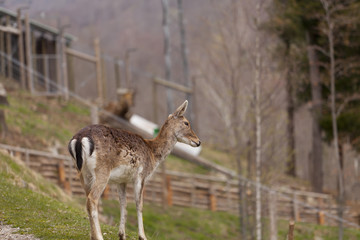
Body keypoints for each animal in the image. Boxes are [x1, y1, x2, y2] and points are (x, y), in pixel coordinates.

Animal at [68, 100, 200, 240]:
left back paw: (93, 235)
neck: (152, 154)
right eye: (186, 123)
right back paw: (99, 236)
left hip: (83, 173)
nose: (198, 141)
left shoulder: (121, 180)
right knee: (92, 199)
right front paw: (142, 236)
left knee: (87, 198)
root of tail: (79, 139)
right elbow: (139, 204)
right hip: (102, 171)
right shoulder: (141, 175)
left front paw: (122, 235)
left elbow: (123, 203)